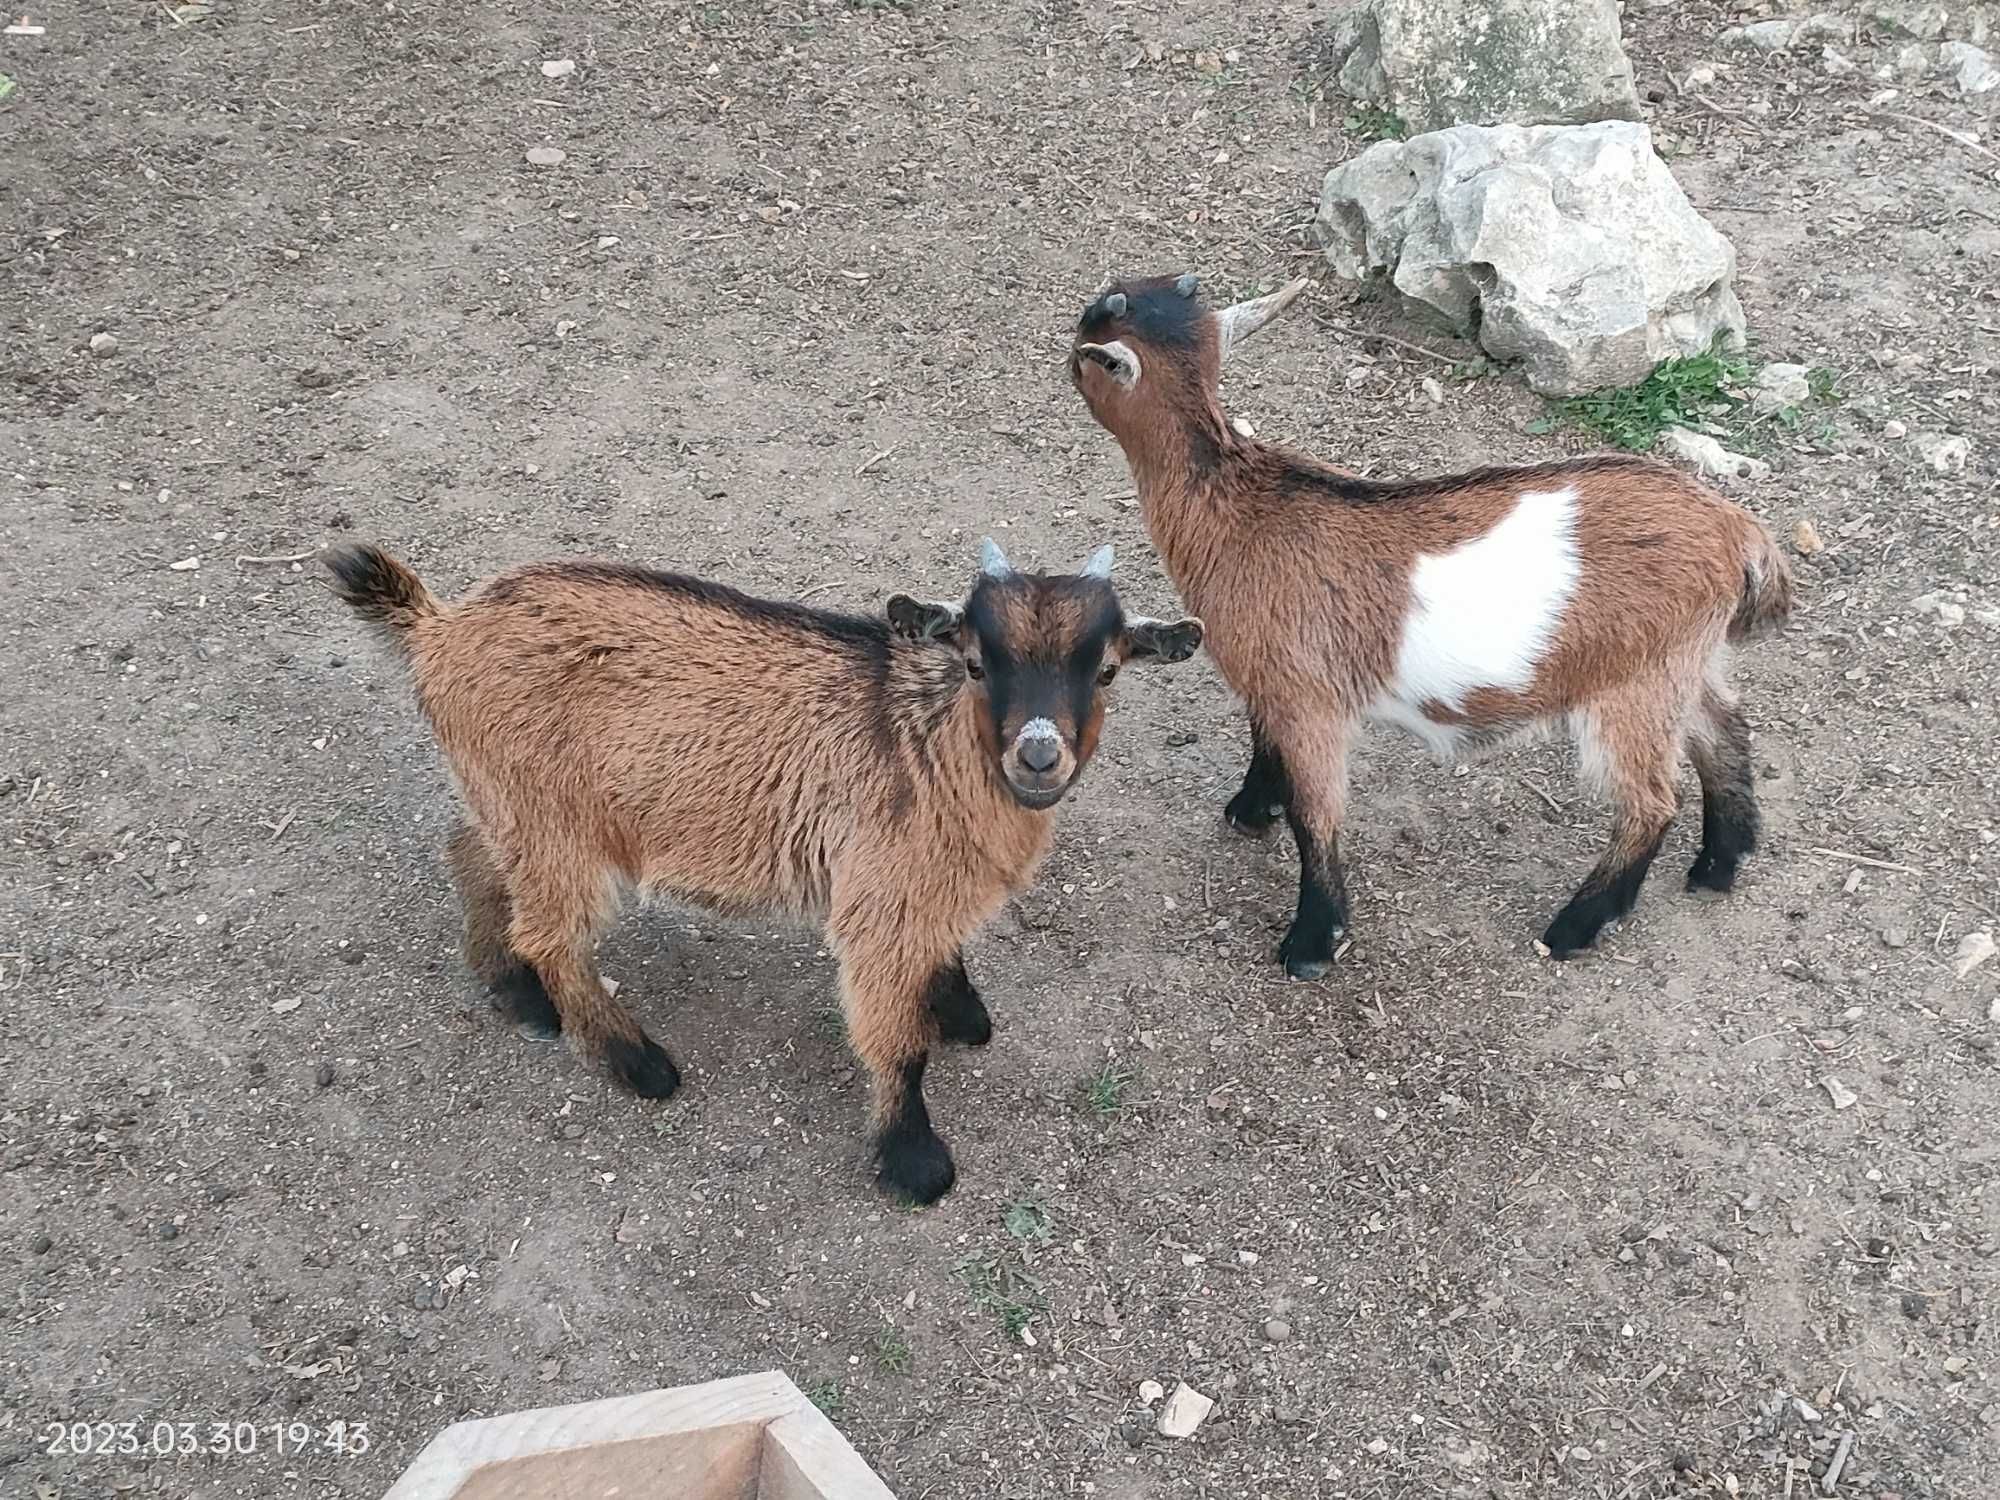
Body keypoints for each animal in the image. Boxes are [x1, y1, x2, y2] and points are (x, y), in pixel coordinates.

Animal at [330, 536, 1200, 1208]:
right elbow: (897, 1042)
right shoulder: (879, 901)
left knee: (471, 854)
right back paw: (636, 1061)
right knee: (552, 936)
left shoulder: (922, 887)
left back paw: (514, 992)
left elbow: (941, 962)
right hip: (558, 827)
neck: (926, 745)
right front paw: (914, 1161)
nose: (1039, 755)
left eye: (1108, 670)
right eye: (978, 664)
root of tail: (439, 625)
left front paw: (961, 1009)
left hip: (507, 802)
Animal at [1072, 270, 1792, 976]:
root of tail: (1739, 531)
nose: (1068, 345)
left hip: (1632, 683)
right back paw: (1720, 864)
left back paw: (1574, 928)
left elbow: (1316, 811)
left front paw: (1312, 943)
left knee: (1651, 803)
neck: (1239, 505)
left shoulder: (1309, 698)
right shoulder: (1273, 688)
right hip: (1684, 660)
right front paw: (1250, 812)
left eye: (1088, 345)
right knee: (1725, 730)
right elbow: (1266, 749)